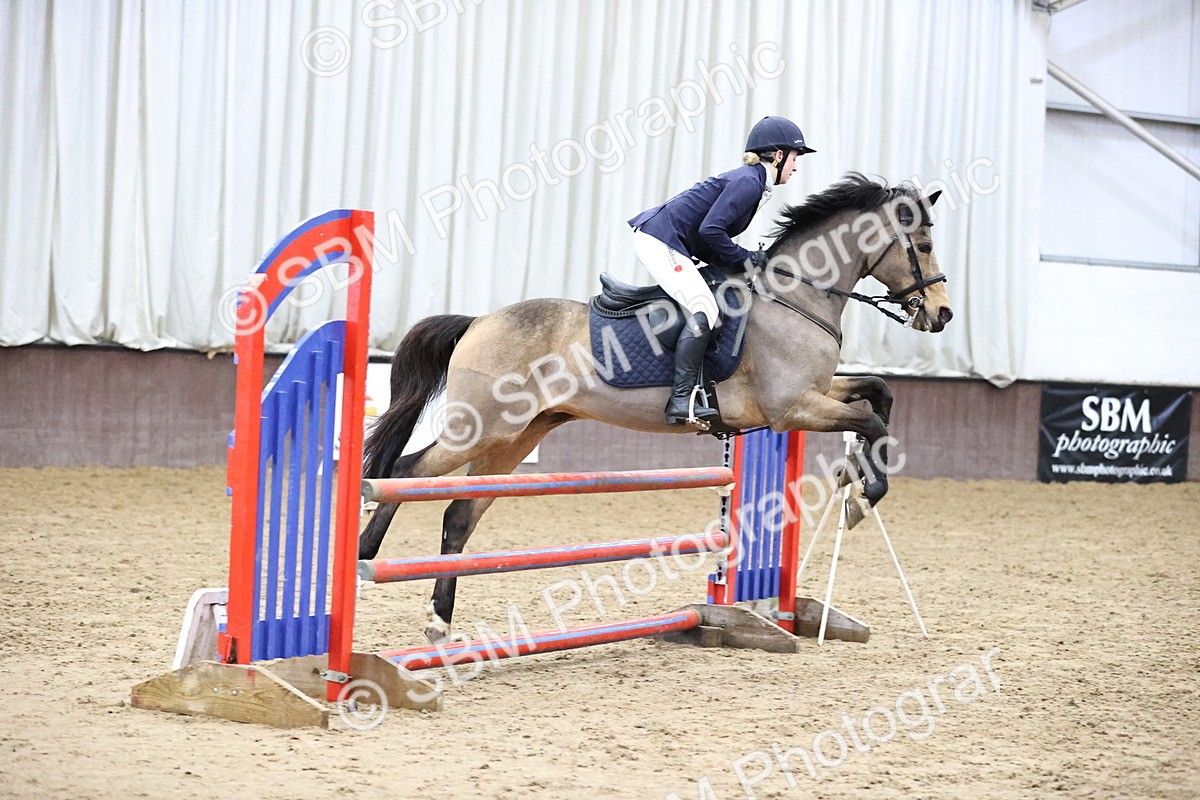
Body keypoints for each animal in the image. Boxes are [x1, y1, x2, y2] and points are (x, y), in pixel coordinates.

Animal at [359, 172, 953, 643]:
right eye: (922, 245)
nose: (942, 314)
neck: (795, 296)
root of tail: (479, 321)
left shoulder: (814, 395)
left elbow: (879, 393)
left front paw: (858, 481)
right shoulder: (791, 409)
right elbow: (871, 417)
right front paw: (866, 493)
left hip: (518, 436)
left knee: (459, 515)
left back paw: (439, 622)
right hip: (482, 428)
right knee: (404, 472)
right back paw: (364, 555)